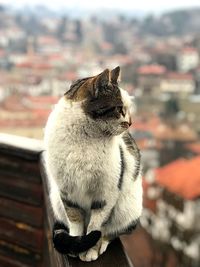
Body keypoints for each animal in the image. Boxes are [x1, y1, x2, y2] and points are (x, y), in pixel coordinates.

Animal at [44, 66, 143, 262]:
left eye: (128, 109)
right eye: (119, 109)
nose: (130, 123)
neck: (83, 139)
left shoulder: (106, 194)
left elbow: (96, 226)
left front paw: (90, 251)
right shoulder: (66, 191)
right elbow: (75, 220)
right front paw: (76, 243)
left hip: (128, 208)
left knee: (112, 232)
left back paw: (102, 243)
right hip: (56, 199)